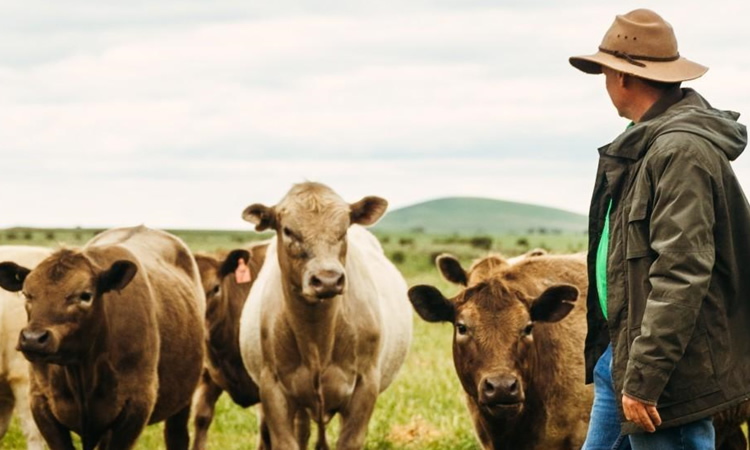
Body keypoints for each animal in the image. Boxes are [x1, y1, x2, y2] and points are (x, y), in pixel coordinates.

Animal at [0, 227, 206, 450]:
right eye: (27, 294)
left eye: (85, 295)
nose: (33, 338)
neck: (82, 371)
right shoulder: (40, 402)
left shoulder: (136, 406)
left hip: (183, 399)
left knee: (177, 435)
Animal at [239, 183, 412, 450]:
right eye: (288, 230)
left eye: (343, 229)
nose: (328, 279)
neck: (316, 336)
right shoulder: (273, 390)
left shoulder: (365, 386)